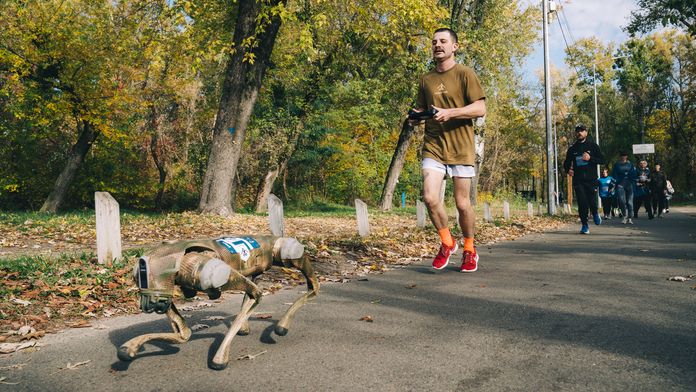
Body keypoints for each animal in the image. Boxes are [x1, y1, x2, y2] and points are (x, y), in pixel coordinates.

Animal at [117, 236, 318, 370]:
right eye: (139, 277)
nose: (149, 304)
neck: (181, 263)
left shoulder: (219, 276)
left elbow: (256, 295)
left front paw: (220, 359)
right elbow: (184, 334)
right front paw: (130, 347)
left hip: (287, 254)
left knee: (313, 285)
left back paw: (281, 326)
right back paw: (249, 328)